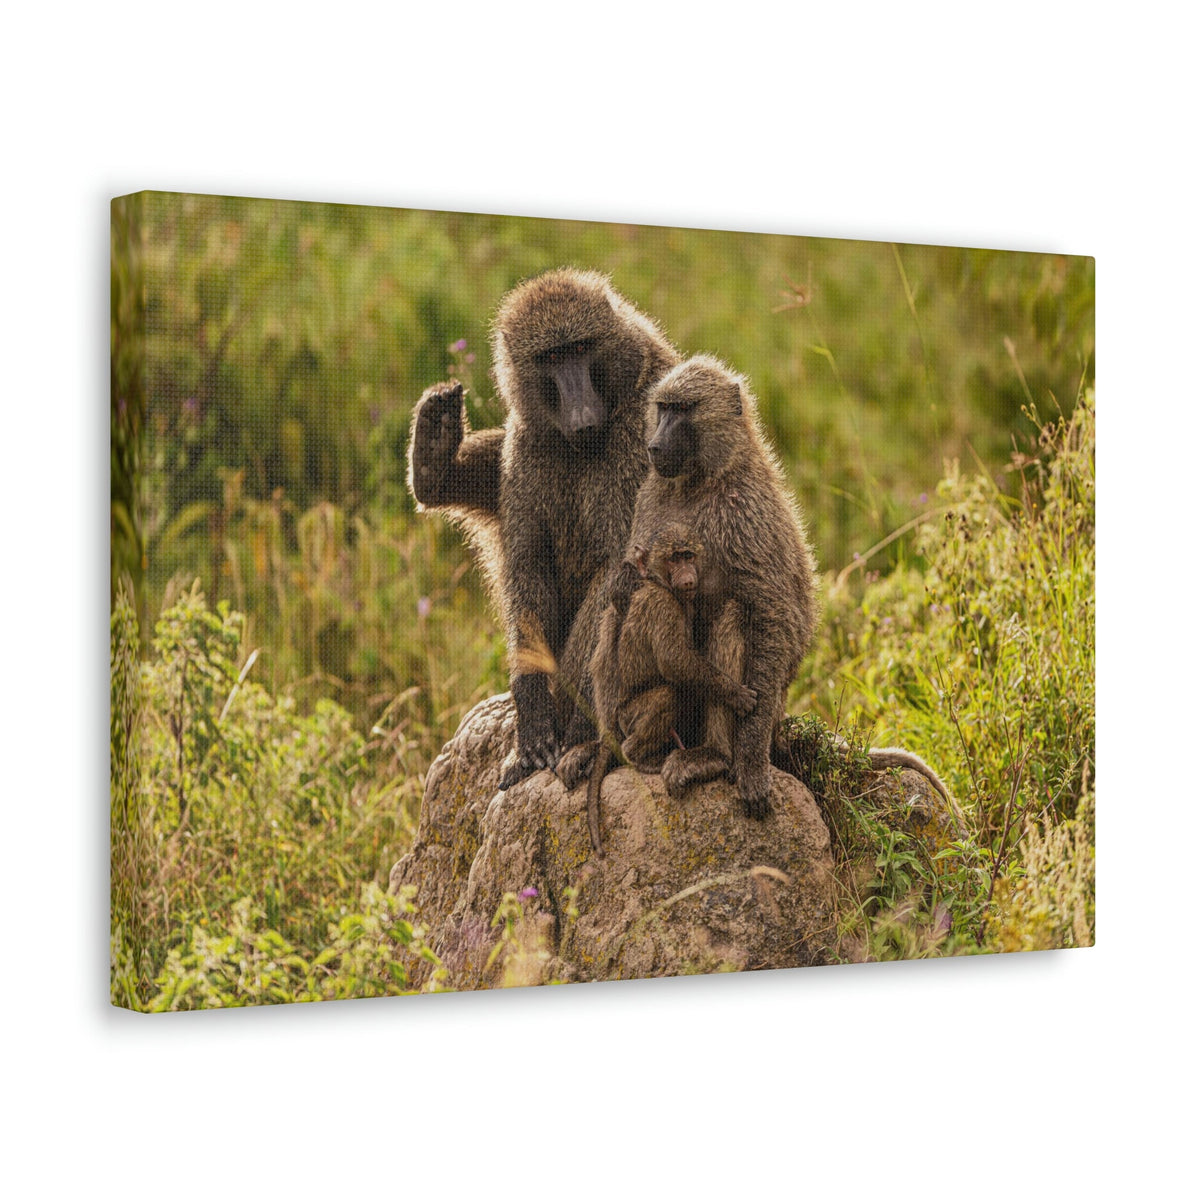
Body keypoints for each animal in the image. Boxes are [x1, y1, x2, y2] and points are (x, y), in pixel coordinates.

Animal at [407, 269, 680, 790]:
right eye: (551, 358)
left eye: (581, 348)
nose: (582, 414)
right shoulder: (531, 442)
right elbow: (528, 560)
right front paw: (533, 720)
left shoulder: (643, 439)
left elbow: (619, 573)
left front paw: (575, 733)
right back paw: (433, 463)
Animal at [567, 525, 757, 855]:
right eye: (674, 558)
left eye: (688, 555)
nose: (687, 575)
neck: (658, 582)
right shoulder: (662, 603)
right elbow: (674, 660)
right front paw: (734, 693)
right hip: (628, 717)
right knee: (667, 695)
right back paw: (637, 757)